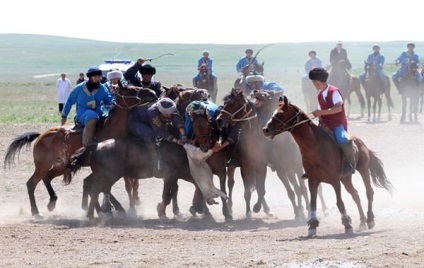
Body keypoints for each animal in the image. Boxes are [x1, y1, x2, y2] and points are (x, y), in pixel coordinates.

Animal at [2, 84, 159, 218]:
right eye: (132, 88)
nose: (152, 93)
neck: (110, 128)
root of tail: (42, 135)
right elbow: (104, 187)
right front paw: (114, 208)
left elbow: (122, 186)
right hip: (42, 165)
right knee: (31, 183)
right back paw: (36, 212)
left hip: (61, 165)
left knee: (47, 178)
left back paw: (52, 202)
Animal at [262, 96, 394, 237]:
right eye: (272, 113)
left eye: (280, 114)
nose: (265, 129)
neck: (316, 146)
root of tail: (361, 143)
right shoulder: (313, 180)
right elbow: (313, 203)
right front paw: (312, 225)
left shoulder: (335, 180)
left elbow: (339, 202)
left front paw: (347, 224)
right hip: (346, 178)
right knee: (356, 195)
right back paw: (362, 222)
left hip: (363, 170)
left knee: (369, 192)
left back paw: (370, 220)